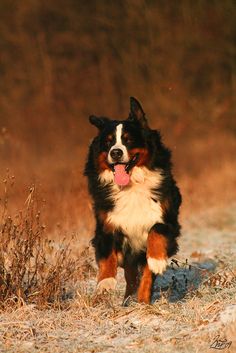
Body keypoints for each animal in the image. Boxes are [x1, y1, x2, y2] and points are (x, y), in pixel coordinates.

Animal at [84, 96, 182, 302]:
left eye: (128, 140)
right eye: (108, 142)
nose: (116, 152)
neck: (131, 186)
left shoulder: (167, 219)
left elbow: (156, 231)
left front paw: (157, 261)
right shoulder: (107, 224)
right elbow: (108, 254)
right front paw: (105, 283)